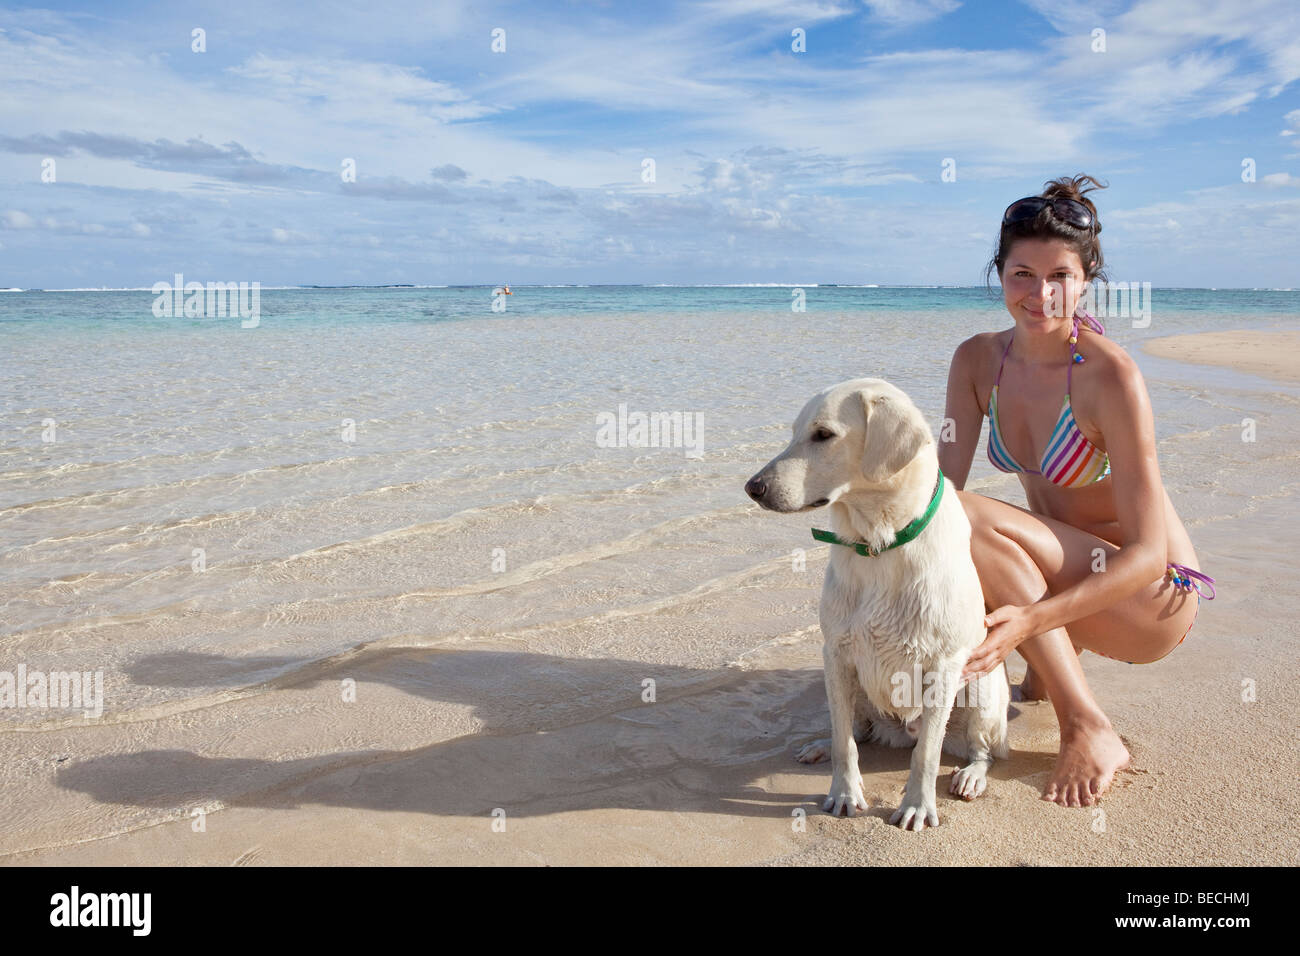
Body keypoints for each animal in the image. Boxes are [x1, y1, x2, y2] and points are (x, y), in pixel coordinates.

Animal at [748, 379, 1008, 832]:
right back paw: (820, 745)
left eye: (823, 434)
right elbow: (844, 742)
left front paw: (917, 805)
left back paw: (971, 775)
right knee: (856, 731)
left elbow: (927, 754)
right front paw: (844, 792)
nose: (752, 487)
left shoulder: (944, 665)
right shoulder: (835, 653)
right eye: (794, 432)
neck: (878, 543)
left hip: (984, 687)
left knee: (979, 749)